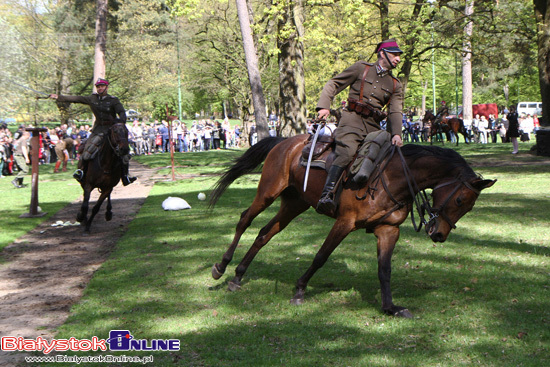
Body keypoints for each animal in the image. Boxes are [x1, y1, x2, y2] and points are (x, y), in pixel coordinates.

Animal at [209, 137, 498, 318]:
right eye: (459, 200)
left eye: (468, 207)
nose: (439, 234)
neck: (394, 178)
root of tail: (285, 141)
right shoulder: (344, 222)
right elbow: (321, 256)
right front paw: (300, 290)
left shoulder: (388, 230)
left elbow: (384, 269)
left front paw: (390, 307)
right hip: (268, 192)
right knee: (245, 220)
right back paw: (222, 266)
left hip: (294, 204)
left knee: (264, 234)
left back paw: (238, 276)